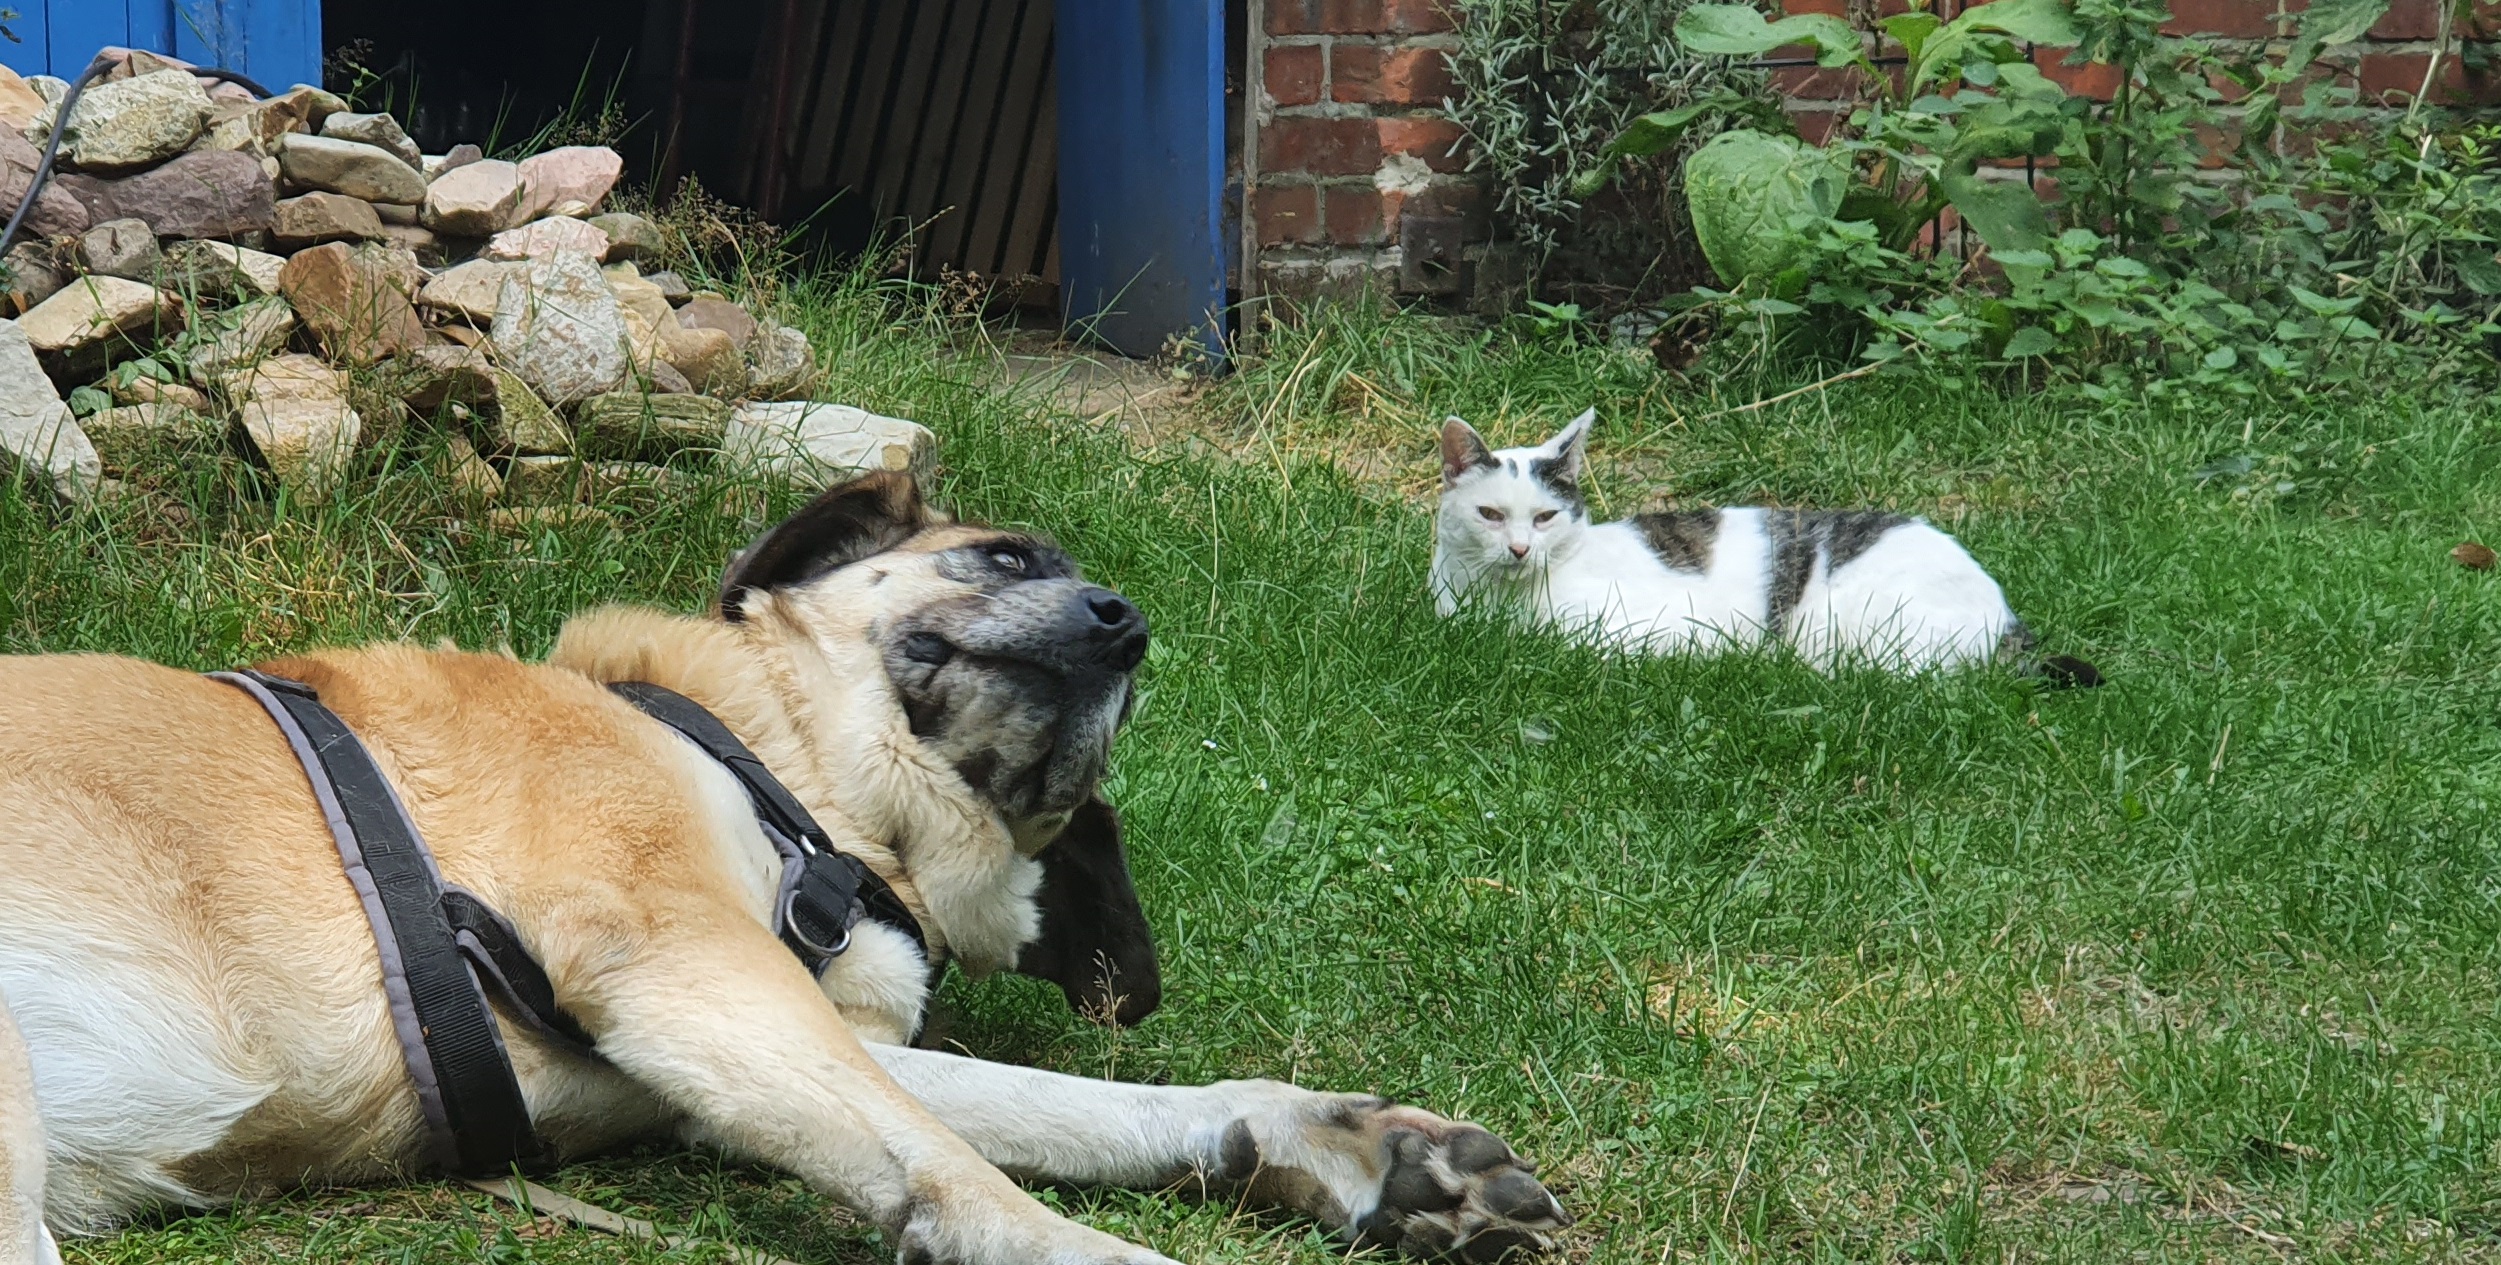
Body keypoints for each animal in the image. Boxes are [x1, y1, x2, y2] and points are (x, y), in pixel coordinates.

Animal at [0, 470, 1560, 1260]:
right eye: (1003, 556)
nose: (1128, 625)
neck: (787, 775)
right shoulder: (691, 968)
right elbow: (969, 1170)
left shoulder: (760, 1028)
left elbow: (1066, 1109)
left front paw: (1345, 1144)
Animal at [1430, 412, 2090, 680]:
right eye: (1490, 514)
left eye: (1544, 518)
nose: (1519, 550)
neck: (1500, 609)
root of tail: (2005, 615)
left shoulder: (1660, 630)